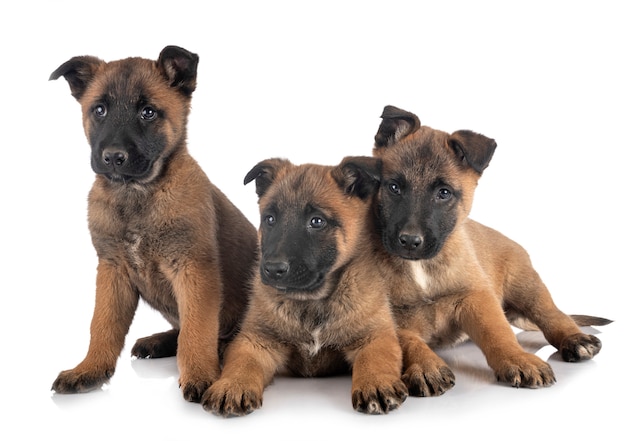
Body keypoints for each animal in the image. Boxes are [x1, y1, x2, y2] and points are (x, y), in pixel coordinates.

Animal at [45, 45, 256, 402]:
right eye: (99, 109)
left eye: (148, 113)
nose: (113, 157)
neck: (136, 195)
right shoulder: (112, 271)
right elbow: (102, 326)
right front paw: (89, 369)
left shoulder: (194, 271)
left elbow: (197, 330)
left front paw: (200, 374)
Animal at [202, 156, 408, 414]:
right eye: (270, 219)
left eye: (316, 221)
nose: (273, 269)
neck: (313, 301)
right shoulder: (256, 340)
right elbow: (241, 363)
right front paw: (232, 385)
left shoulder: (375, 336)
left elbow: (376, 359)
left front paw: (376, 382)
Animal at [368, 105, 608, 394]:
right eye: (393, 187)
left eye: (444, 193)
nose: (410, 241)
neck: (422, 269)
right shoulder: (389, 316)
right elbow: (408, 342)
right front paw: (425, 366)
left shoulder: (477, 298)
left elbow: (497, 332)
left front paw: (517, 359)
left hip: (527, 285)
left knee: (551, 313)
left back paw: (575, 338)